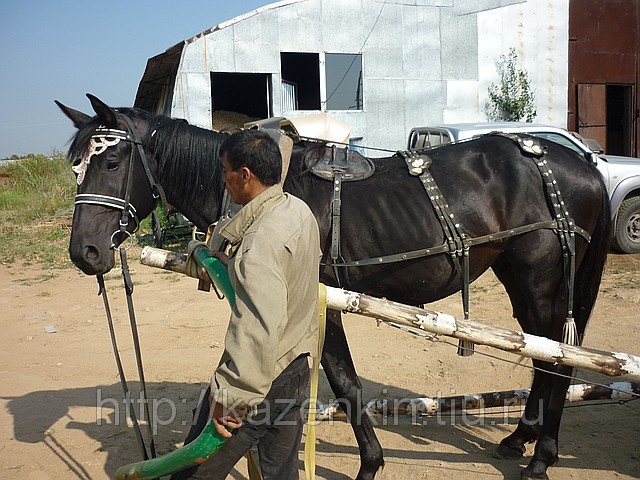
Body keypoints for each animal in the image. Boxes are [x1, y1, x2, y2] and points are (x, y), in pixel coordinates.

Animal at [58, 94, 608, 480]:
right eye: (75, 166)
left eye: (111, 162)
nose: (85, 253)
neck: (275, 193)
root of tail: (581, 164)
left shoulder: (322, 303)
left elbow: (344, 383)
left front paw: (370, 464)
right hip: (516, 275)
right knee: (542, 353)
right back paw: (521, 438)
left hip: (539, 275)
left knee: (558, 358)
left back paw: (542, 456)